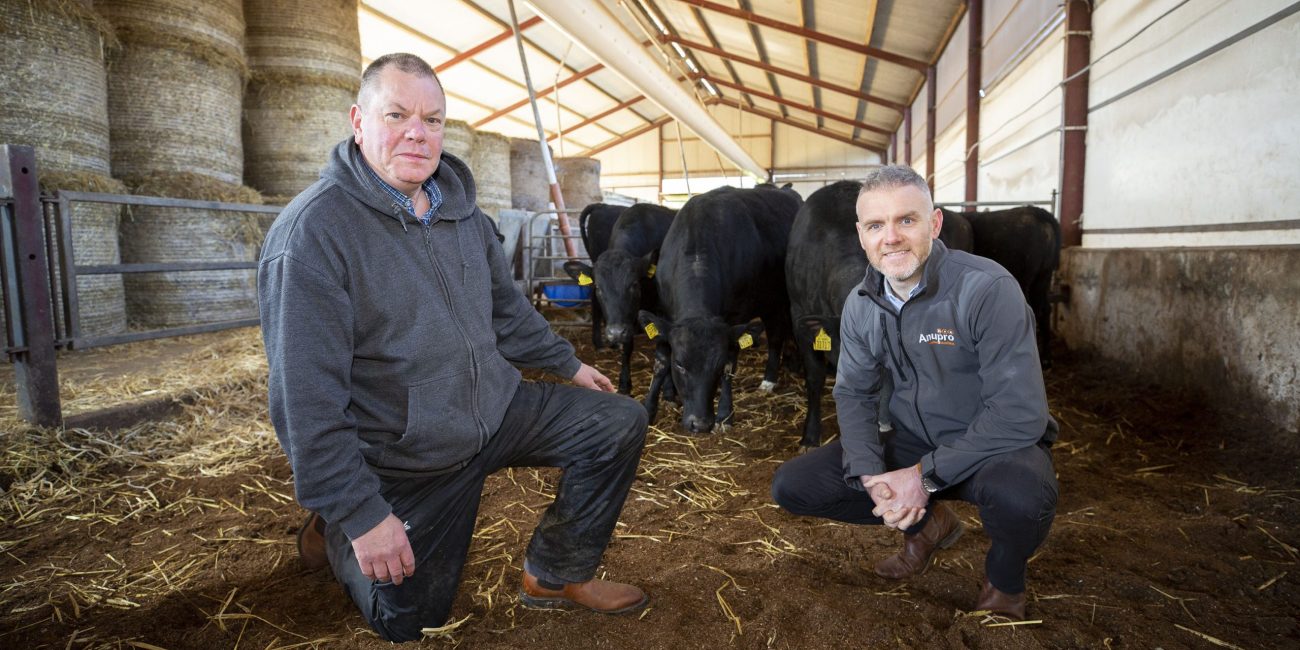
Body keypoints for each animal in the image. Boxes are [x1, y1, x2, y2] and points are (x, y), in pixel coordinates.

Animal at [639, 185, 800, 434]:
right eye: (680, 364)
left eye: (717, 364)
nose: (700, 424)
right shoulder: (665, 314)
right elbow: (660, 362)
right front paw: (650, 408)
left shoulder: (734, 319)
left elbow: (730, 367)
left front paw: (725, 416)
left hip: (778, 298)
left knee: (776, 336)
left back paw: (769, 380)